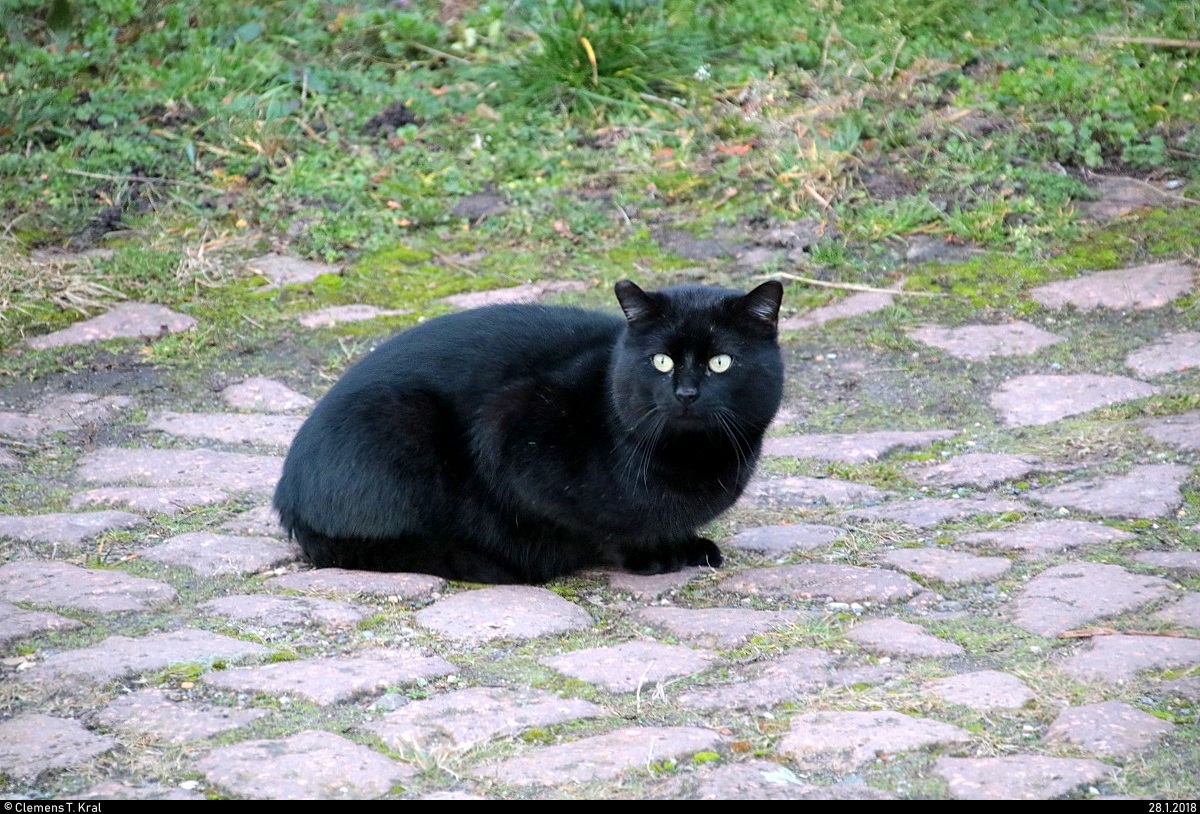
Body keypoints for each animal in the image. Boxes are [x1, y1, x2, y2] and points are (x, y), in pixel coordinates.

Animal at [276, 282, 792, 585]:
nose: (685, 393)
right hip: (404, 419)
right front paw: (652, 554)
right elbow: (596, 525)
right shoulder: (510, 427)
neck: (690, 460)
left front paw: (685, 543)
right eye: (660, 361)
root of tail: (287, 498)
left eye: (720, 362)